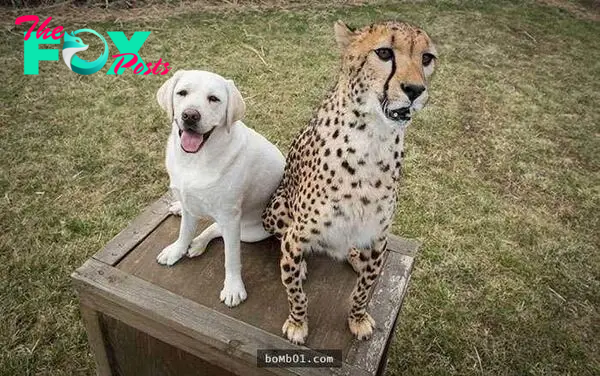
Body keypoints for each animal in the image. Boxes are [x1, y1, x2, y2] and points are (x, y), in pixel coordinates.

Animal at [155, 70, 286, 306]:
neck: (195, 159)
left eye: (214, 99)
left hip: (251, 231)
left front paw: (233, 287)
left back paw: (199, 242)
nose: (190, 115)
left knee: (218, 229)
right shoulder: (189, 203)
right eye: (182, 93)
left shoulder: (230, 216)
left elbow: (231, 257)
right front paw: (177, 251)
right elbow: (184, 232)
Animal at [262, 19, 436, 344]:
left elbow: (364, 289)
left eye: (427, 58)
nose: (415, 90)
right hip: (276, 209)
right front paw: (297, 322)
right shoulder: (295, 236)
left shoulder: (378, 238)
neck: (374, 138)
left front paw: (358, 319)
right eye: (384, 53)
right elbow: (295, 291)